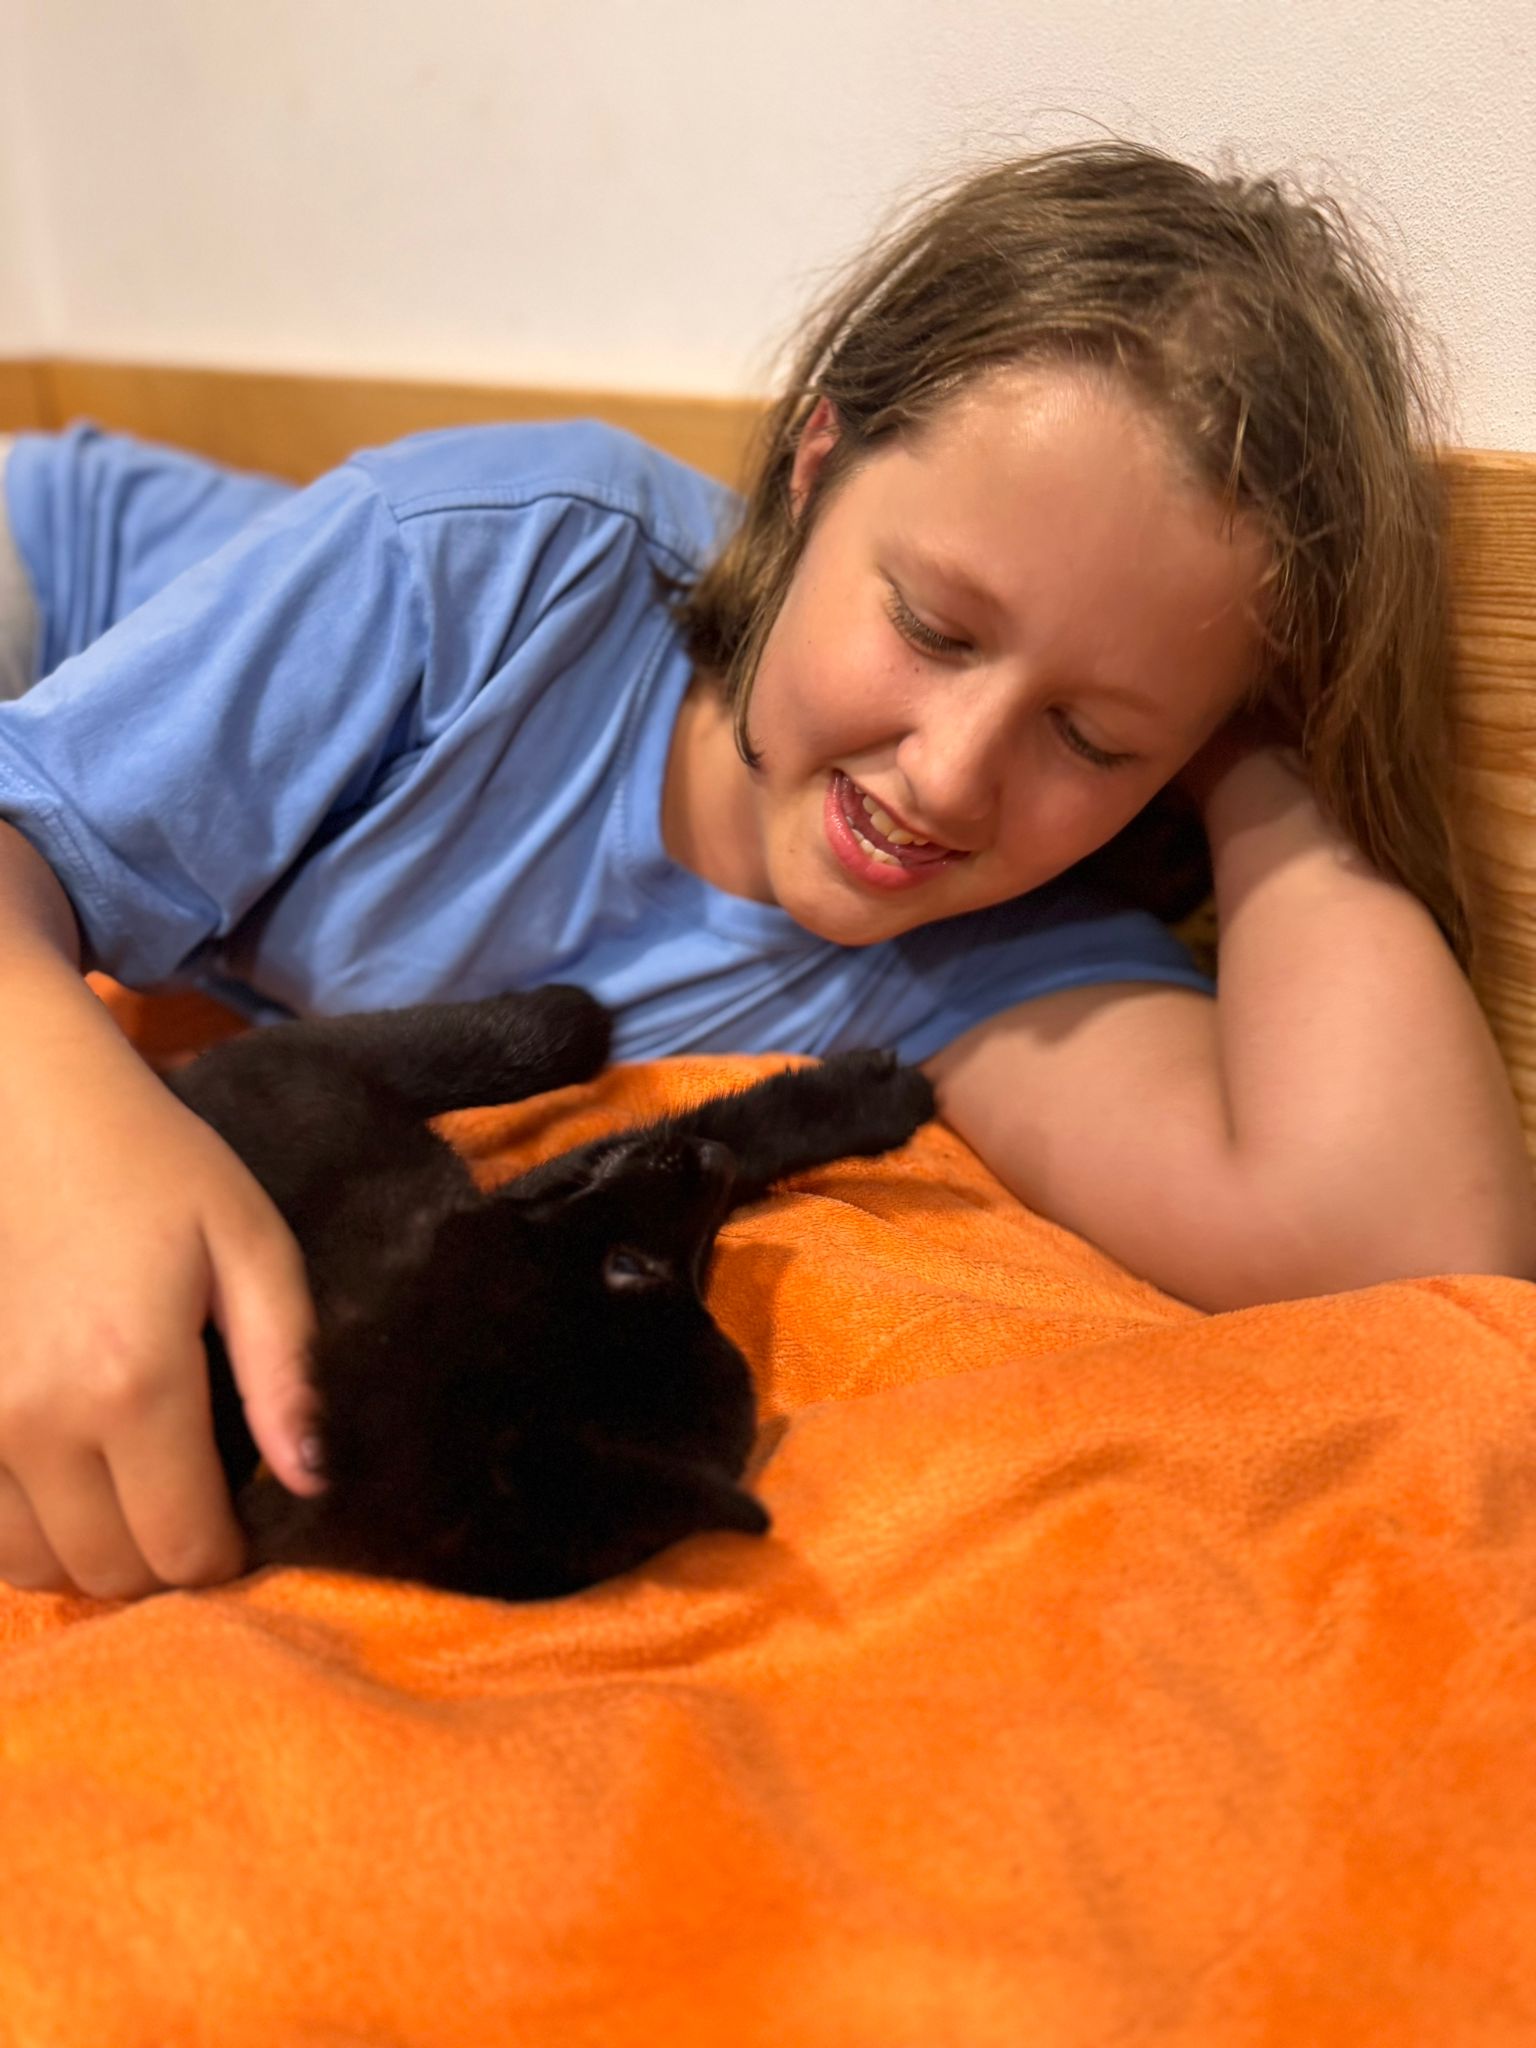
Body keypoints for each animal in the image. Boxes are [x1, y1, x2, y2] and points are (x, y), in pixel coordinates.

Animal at [166, 987, 935, 1601]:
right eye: (629, 1267)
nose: (712, 1166)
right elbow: (673, 1125)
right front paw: (877, 1097)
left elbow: (705, 1133)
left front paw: (865, 1103)